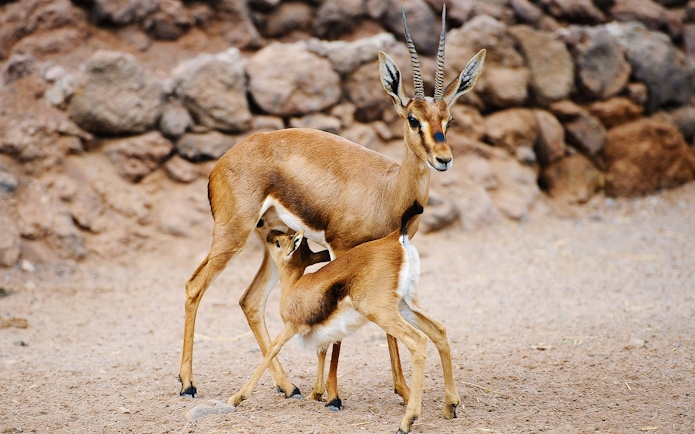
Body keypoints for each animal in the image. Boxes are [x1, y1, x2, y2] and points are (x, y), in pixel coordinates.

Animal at [179, 5, 485, 409]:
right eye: (412, 119)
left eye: (448, 120)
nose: (443, 158)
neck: (388, 190)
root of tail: (220, 163)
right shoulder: (341, 248)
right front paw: (334, 395)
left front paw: (401, 390)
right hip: (232, 234)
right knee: (195, 285)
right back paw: (188, 384)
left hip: (272, 240)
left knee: (250, 300)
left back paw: (288, 386)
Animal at [229, 201, 460, 434]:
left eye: (278, 243)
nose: (268, 234)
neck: (294, 286)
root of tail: (397, 237)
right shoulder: (319, 332)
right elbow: (322, 351)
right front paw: (317, 395)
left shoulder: (292, 326)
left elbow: (272, 349)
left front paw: (238, 397)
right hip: (405, 306)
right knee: (439, 330)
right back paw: (450, 407)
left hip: (383, 313)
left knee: (418, 340)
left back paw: (407, 421)